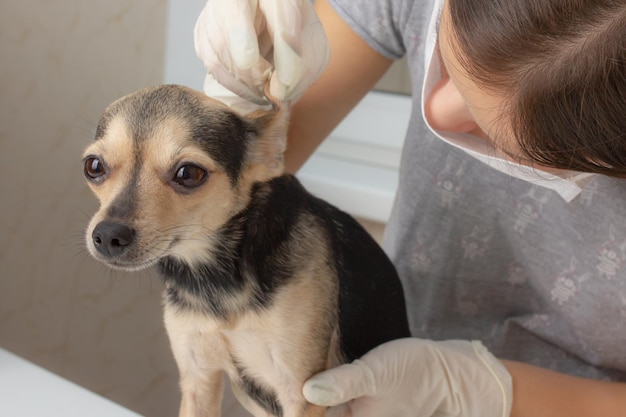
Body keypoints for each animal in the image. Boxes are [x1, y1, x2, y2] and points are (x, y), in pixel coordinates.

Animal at [83, 85, 410, 416]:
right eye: (93, 166)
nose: (108, 235)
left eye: (188, 174)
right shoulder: (198, 379)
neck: (218, 280)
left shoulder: (301, 393)